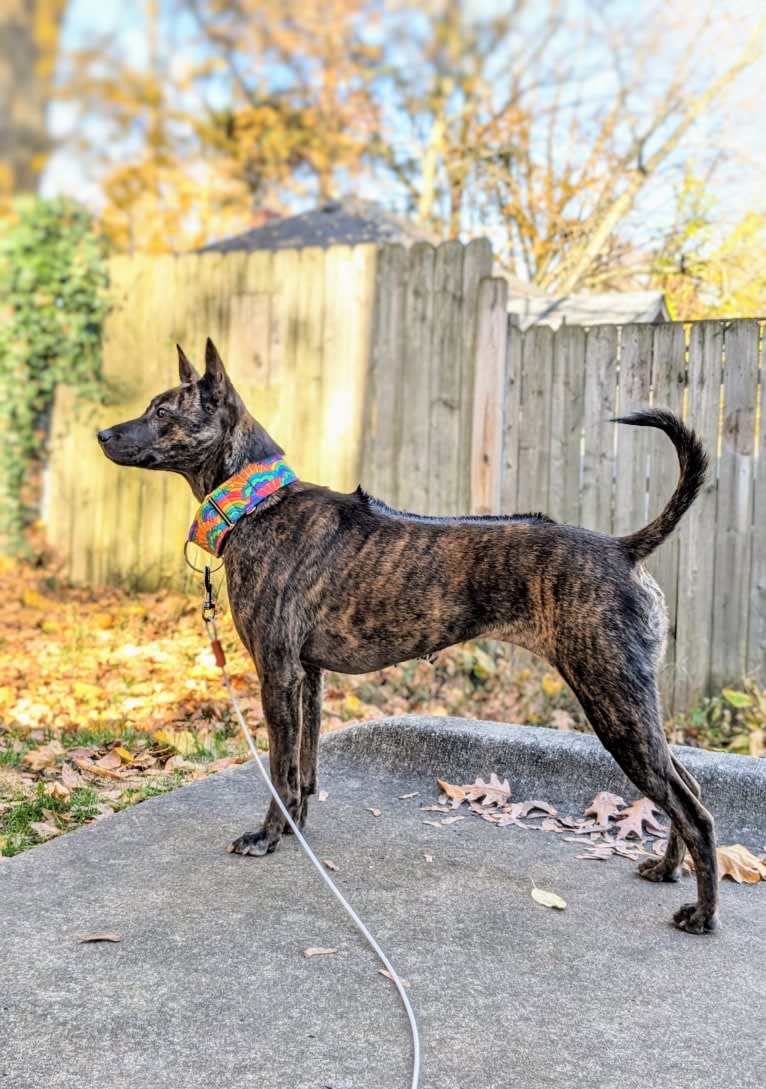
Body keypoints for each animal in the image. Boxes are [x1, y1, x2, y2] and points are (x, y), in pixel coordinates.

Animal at [100, 335, 719, 932]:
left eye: (162, 411)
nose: (102, 433)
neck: (257, 501)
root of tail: (623, 547)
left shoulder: (276, 675)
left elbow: (280, 769)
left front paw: (269, 836)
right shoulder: (308, 677)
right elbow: (305, 768)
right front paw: (295, 828)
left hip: (613, 701)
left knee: (693, 810)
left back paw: (702, 915)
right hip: (631, 705)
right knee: (687, 789)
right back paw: (666, 869)